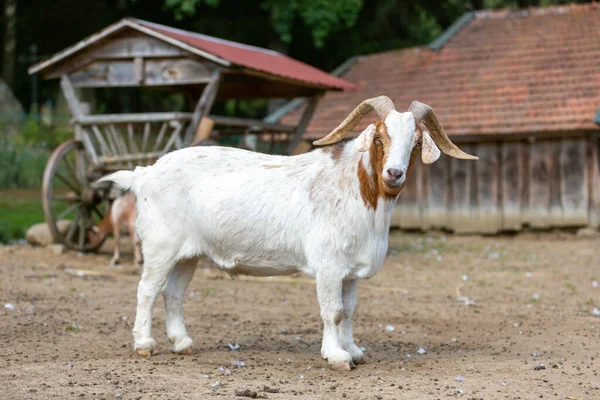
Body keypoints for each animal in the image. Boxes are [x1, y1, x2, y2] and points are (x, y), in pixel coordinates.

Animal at [99, 97, 478, 372]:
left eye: (415, 142)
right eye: (380, 137)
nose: (394, 174)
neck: (356, 191)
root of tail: (144, 173)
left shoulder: (351, 272)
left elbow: (350, 310)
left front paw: (353, 349)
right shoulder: (329, 266)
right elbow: (333, 311)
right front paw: (336, 356)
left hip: (187, 254)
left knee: (173, 293)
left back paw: (182, 343)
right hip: (161, 245)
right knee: (147, 290)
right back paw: (144, 345)